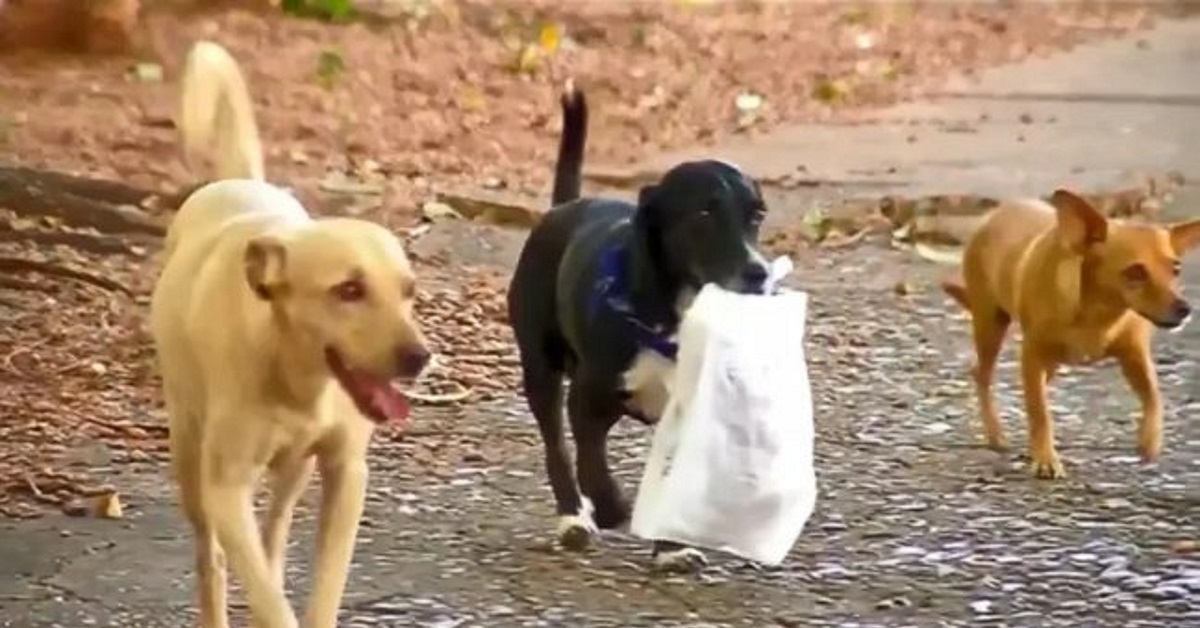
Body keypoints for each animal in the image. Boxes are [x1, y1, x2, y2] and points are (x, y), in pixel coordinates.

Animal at [504, 81, 768, 571]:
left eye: (756, 215)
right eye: (704, 214)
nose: (759, 273)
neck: (673, 314)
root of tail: (565, 206)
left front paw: (671, 548)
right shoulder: (587, 399)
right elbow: (590, 460)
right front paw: (611, 507)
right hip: (540, 367)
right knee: (556, 447)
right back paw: (574, 518)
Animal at [945, 189, 1200, 480]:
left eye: (1176, 269)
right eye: (1135, 272)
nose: (1184, 309)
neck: (1099, 314)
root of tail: (994, 214)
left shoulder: (1135, 356)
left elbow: (1154, 397)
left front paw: (1149, 440)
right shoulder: (1032, 356)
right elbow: (1040, 414)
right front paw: (1046, 459)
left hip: (1048, 361)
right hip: (990, 325)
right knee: (983, 376)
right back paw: (996, 434)